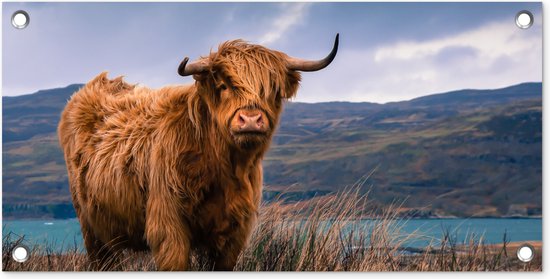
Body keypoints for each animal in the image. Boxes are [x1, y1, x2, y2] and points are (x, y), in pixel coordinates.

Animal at [58, 34, 338, 272]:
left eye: (273, 90)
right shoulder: (168, 228)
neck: (223, 168)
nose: (250, 120)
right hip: (91, 227)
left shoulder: (235, 233)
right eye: (224, 85)